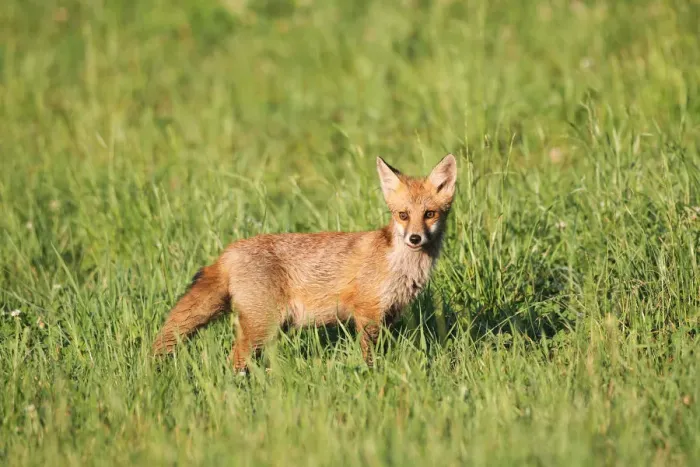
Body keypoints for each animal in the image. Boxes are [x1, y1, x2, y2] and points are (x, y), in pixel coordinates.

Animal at [151, 154, 457, 371]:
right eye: (403, 215)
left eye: (429, 214)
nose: (415, 238)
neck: (399, 265)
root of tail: (229, 250)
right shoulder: (367, 314)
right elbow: (368, 357)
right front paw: (373, 376)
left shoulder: (389, 315)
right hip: (262, 326)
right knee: (233, 361)